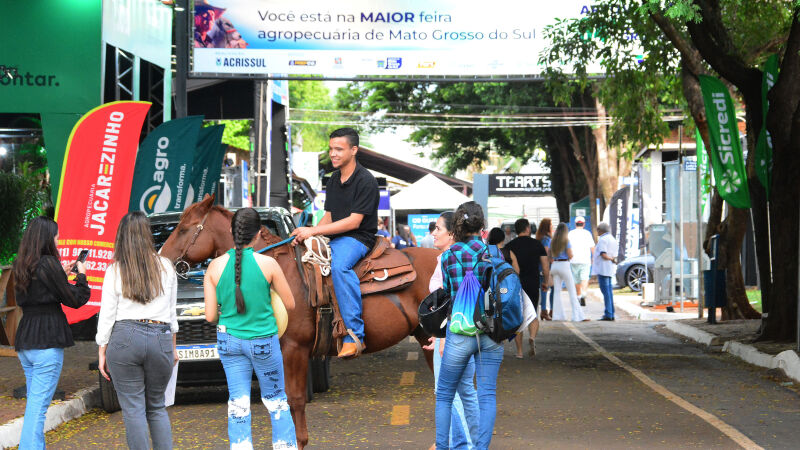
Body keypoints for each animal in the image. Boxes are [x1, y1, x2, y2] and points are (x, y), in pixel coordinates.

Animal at [158, 195, 438, 448]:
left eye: (184, 229)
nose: (161, 258)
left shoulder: (294, 349)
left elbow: (295, 399)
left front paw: (298, 441)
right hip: (426, 337)